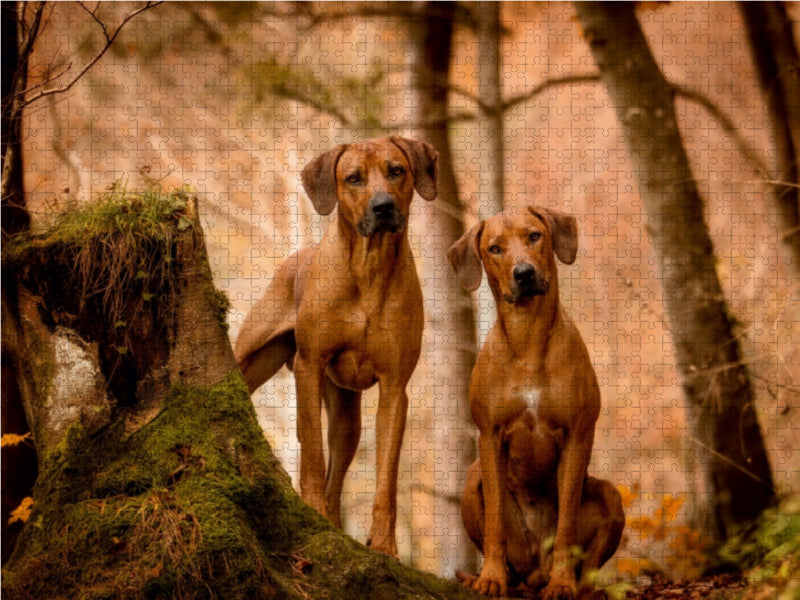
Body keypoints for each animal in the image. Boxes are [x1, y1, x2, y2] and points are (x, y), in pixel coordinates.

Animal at [234, 137, 440, 556]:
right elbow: (313, 453)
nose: (383, 207)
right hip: (252, 356)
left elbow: (386, 479)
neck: (369, 267)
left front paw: (384, 545)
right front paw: (310, 511)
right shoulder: (310, 366)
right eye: (353, 178)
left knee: (337, 476)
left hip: (347, 414)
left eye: (397, 170)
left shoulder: (395, 388)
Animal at [446, 205, 620, 596]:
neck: (528, 338)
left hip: (610, 494)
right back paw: (496, 577)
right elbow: (495, 519)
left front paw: (563, 583)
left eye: (534, 236)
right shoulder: (490, 437)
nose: (524, 273)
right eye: (494, 249)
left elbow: (566, 521)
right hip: (473, 479)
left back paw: (581, 588)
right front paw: (491, 578)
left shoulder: (577, 436)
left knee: (588, 565)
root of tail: (534, 573)